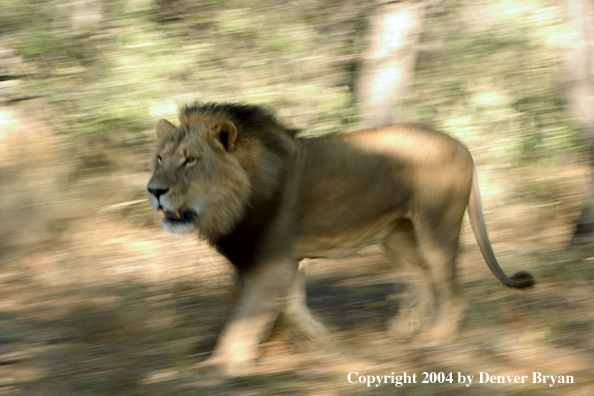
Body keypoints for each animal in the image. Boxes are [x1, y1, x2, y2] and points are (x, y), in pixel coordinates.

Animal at [147, 102, 532, 378]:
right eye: (160, 158)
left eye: (190, 161)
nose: (153, 191)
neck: (233, 202)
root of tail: (463, 146)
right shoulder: (280, 261)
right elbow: (290, 306)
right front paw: (325, 341)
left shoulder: (272, 261)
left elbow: (246, 316)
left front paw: (222, 366)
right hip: (396, 234)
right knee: (422, 272)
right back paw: (405, 326)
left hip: (437, 225)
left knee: (450, 286)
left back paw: (436, 338)